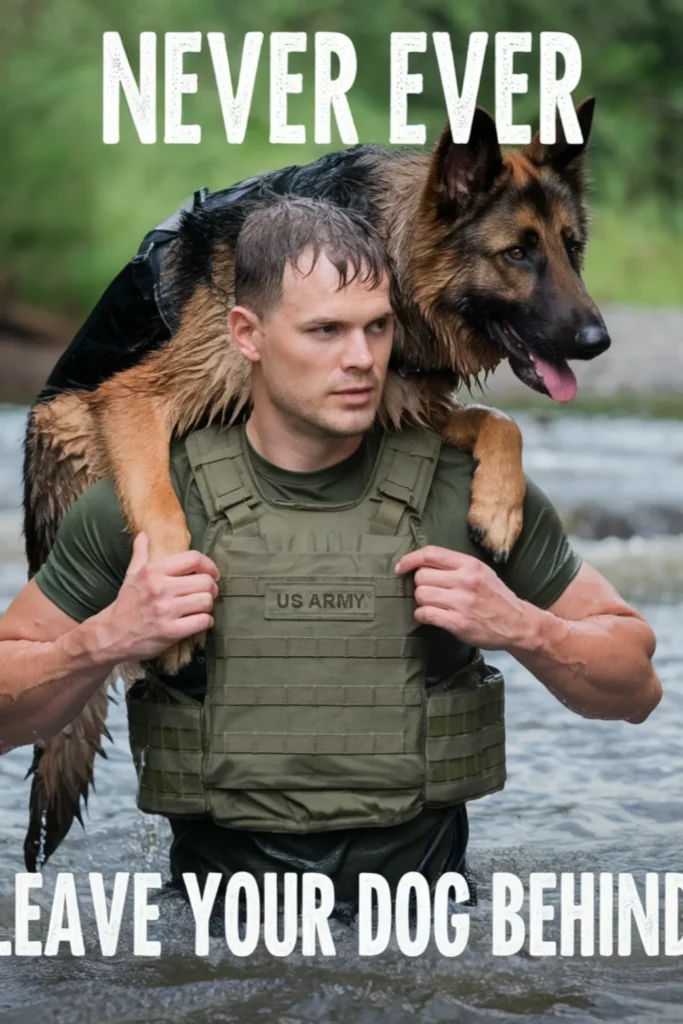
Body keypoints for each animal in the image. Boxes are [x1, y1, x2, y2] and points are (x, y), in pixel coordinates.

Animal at [21, 96, 610, 868]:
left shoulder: (403, 404)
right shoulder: (133, 400)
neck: (383, 246)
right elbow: (162, 506)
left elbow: (499, 423)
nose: (598, 340)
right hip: (68, 422)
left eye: (572, 248)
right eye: (517, 253)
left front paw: (499, 506)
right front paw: (171, 610)